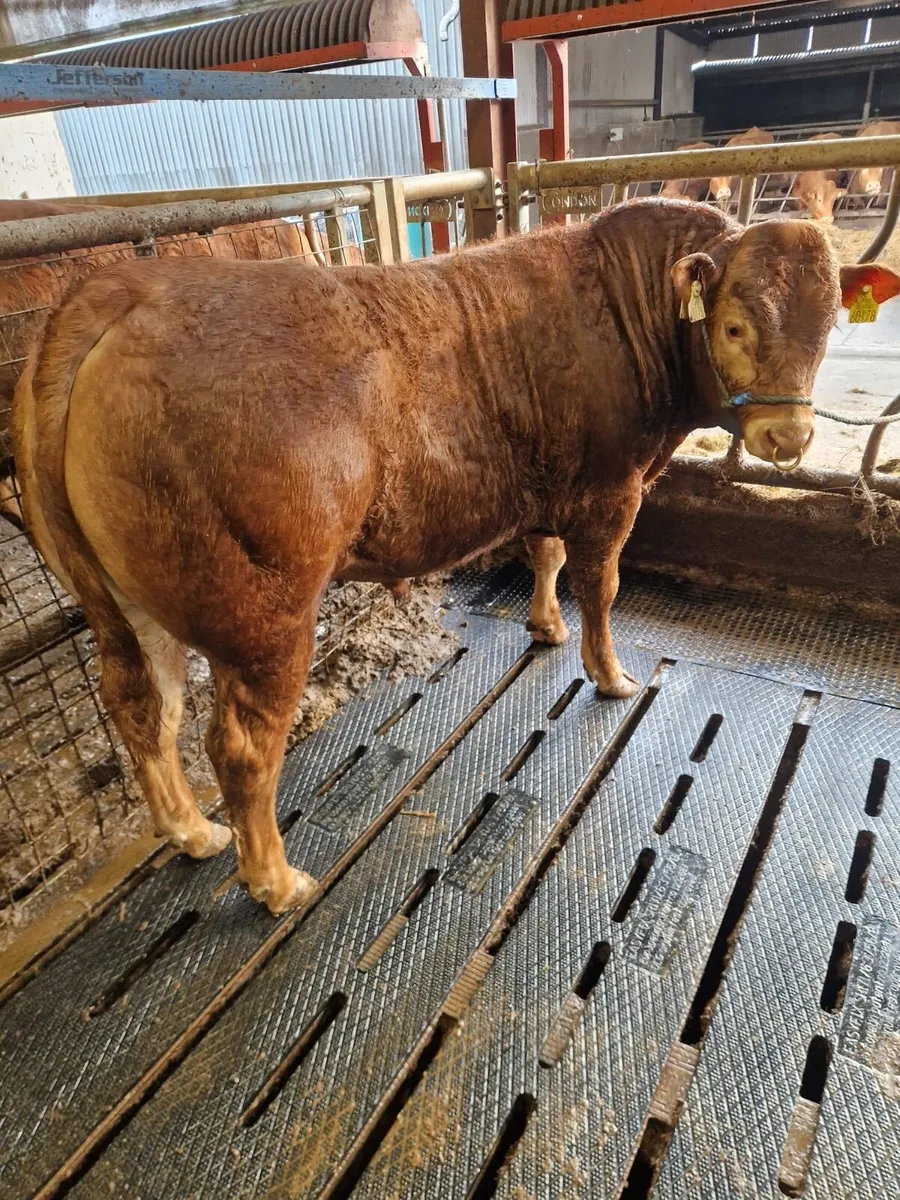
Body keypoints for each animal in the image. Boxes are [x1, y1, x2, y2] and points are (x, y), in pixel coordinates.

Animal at [14, 199, 900, 916]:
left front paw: (544, 628)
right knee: (239, 745)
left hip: (127, 603)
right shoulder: (612, 487)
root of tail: (117, 293)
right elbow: (601, 585)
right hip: (261, 609)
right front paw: (611, 675)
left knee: (140, 705)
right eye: (735, 326)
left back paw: (190, 831)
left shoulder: (549, 480)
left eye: (828, 329)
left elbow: (545, 556)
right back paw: (275, 881)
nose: (788, 439)